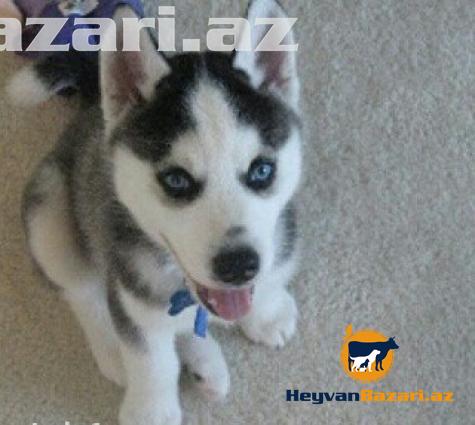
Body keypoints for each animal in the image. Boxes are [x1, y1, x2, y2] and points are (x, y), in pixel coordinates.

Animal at [16, 1, 302, 424]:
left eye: (262, 170)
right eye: (177, 180)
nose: (238, 266)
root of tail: (91, 106)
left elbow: (264, 283)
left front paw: (266, 312)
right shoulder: (131, 286)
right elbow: (152, 360)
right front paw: (152, 408)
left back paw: (205, 364)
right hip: (48, 208)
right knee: (81, 288)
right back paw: (114, 348)